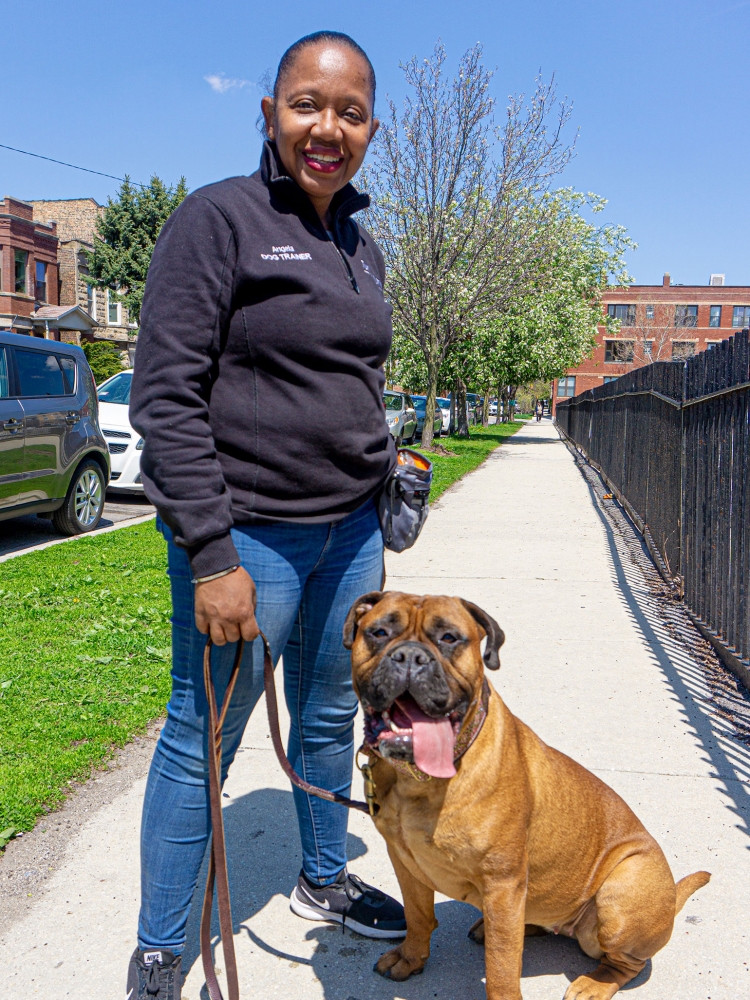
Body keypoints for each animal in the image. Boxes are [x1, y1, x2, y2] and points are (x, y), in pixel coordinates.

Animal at [344, 592, 712, 1000]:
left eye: (449, 638)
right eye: (379, 632)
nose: (409, 656)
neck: (418, 778)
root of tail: (671, 897)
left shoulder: (502, 884)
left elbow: (502, 967)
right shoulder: (406, 862)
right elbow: (418, 915)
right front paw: (410, 958)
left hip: (621, 892)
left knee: (625, 963)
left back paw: (594, 984)